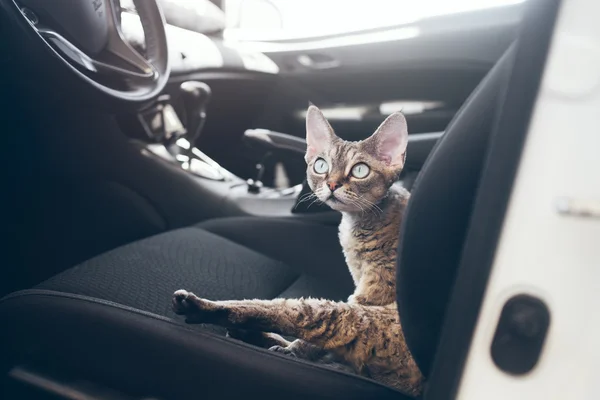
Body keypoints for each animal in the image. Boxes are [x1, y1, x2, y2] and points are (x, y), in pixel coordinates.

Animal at [173, 106, 424, 396]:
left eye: (360, 170)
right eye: (321, 165)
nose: (332, 185)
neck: (358, 223)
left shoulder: (371, 292)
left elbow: (314, 344)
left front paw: (294, 352)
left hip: (348, 317)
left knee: (281, 314)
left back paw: (203, 309)